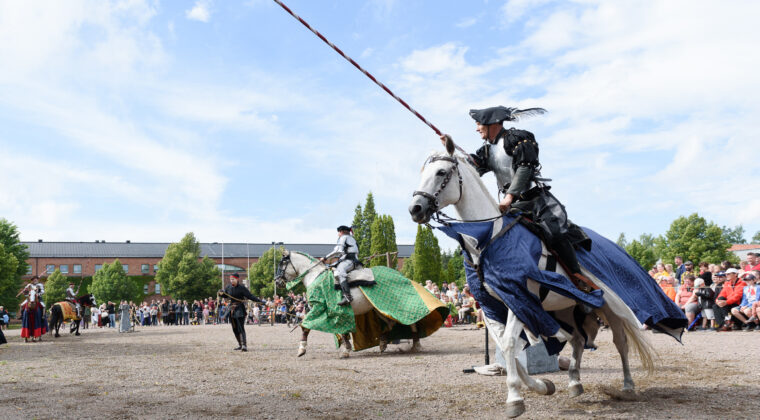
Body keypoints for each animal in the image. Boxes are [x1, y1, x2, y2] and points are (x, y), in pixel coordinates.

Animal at [276, 248, 424, 360]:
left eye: (282, 264)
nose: (277, 282)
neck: (315, 276)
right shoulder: (336, 313)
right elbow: (342, 331)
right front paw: (346, 349)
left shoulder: (318, 308)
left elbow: (305, 327)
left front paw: (301, 350)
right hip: (379, 309)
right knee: (391, 324)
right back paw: (383, 343)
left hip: (396, 305)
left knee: (411, 320)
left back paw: (416, 345)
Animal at [410, 140, 660, 416]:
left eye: (441, 172)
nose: (415, 209)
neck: (490, 237)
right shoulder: (495, 305)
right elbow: (507, 347)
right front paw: (542, 386)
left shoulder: (520, 298)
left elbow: (510, 344)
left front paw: (515, 398)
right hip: (565, 308)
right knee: (578, 339)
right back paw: (574, 381)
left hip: (610, 307)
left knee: (620, 342)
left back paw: (627, 386)